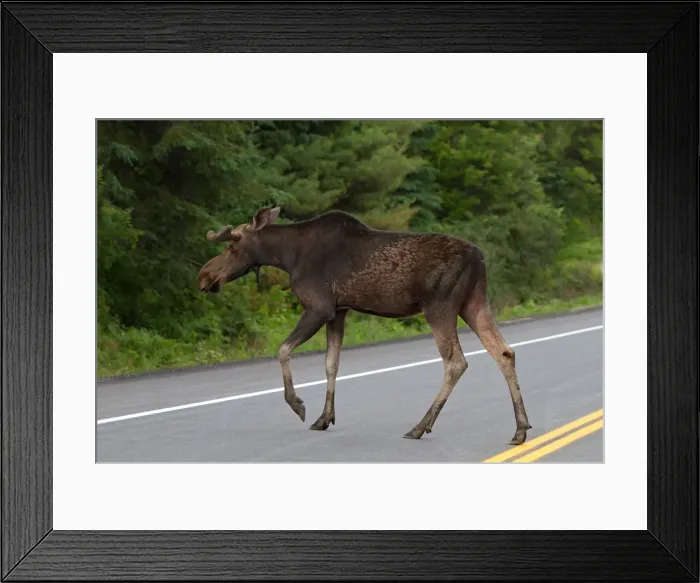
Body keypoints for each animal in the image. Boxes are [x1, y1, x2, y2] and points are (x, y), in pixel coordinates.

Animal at [198, 206, 532, 444]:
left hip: (440, 306)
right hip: (474, 303)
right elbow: (331, 364)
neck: (288, 256)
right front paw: (324, 418)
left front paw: (298, 404)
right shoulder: (339, 311)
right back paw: (520, 429)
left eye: (232, 247)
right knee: (504, 352)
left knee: (456, 362)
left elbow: (282, 349)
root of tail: (480, 258)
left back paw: (420, 426)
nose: (204, 275)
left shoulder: (319, 307)